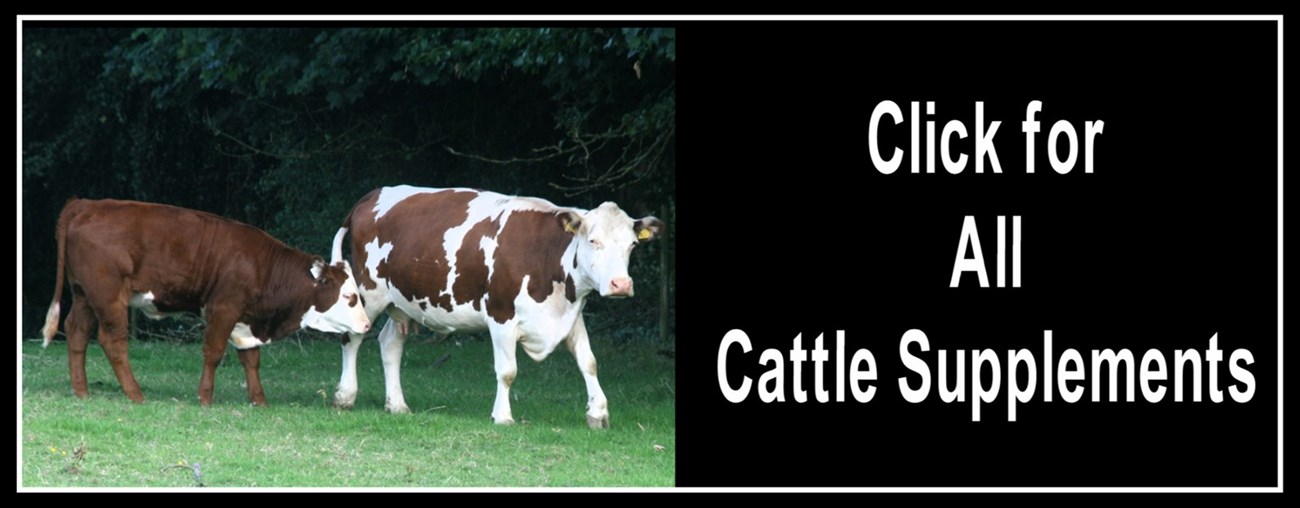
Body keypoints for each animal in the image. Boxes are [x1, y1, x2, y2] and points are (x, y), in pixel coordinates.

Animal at [39, 198, 372, 406]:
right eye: (350, 297)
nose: (367, 324)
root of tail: (87, 204)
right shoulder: (223, 309)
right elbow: (214, 353)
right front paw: (205, 398)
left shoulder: (246, 319)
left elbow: (251, 359)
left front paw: (259, 400)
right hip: (108, 296)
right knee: (113, 340)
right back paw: (135, 394)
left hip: (84, 294)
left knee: (76, 330)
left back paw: (81, 390)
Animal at [331, 186, 664, 428]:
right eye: (593, 240)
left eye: (632, 245)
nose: (621, 284)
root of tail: (371, 196)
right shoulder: (501, 315)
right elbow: (507, 371)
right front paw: (502, 416)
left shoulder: (571, 316)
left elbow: (589, 362)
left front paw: (598, 413)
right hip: (368, 292)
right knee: (352, 337)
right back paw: (345, 396)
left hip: (403, 301)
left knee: (390, 343)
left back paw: (397, 404)